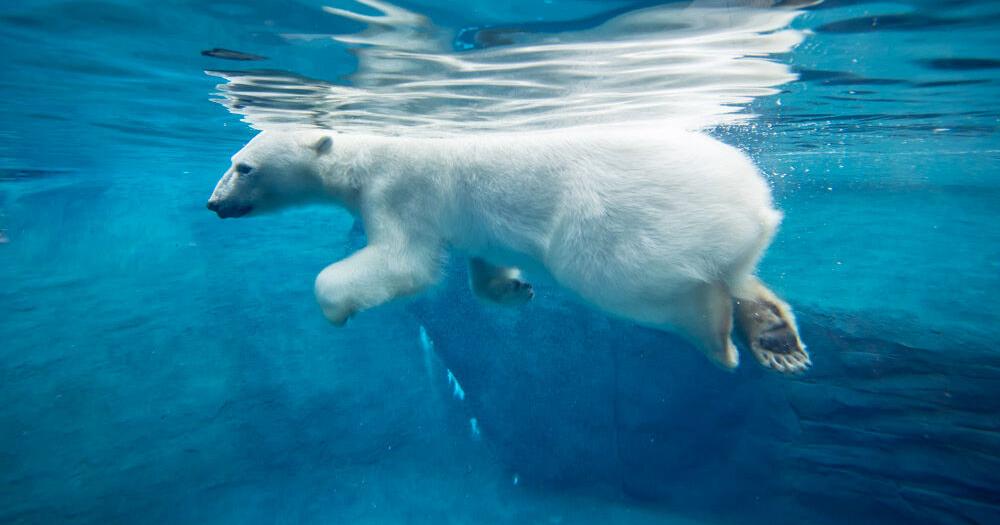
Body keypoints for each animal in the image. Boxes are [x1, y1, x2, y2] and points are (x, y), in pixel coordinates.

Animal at [207, 126, 809, 373]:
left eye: (244, 166)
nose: (213, 204)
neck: (364, 159)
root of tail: (753, 199)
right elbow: (482, 262)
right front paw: (515, 288)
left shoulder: (398, 196)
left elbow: (405, 263)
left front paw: (335, 306)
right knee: (739, 271)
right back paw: (776, 336)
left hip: (617, 221)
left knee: (633, 282)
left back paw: (717, 336)